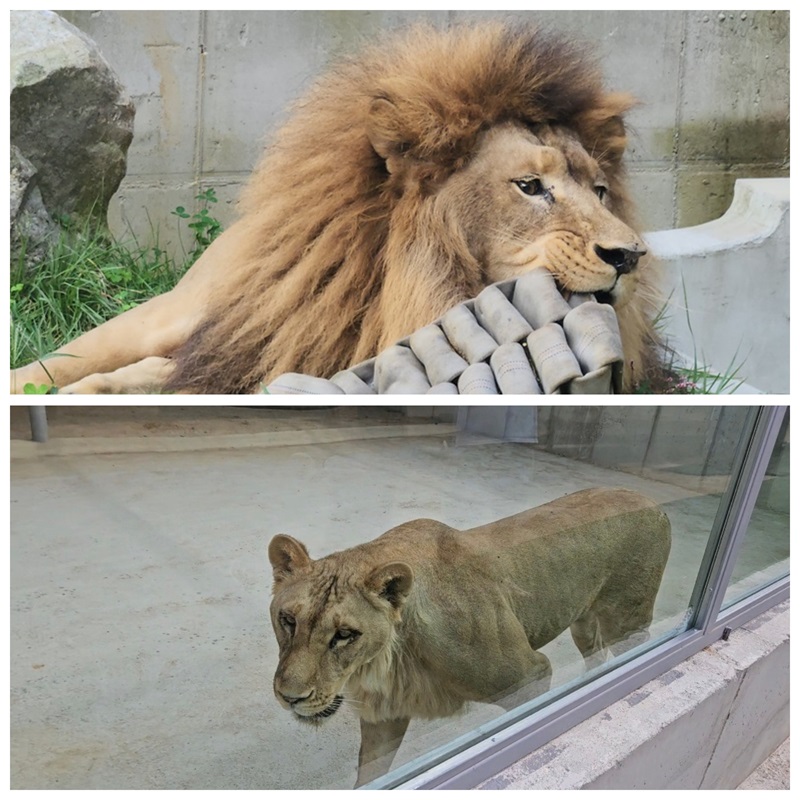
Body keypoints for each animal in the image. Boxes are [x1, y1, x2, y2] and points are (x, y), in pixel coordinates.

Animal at [268, 488, 668, 788]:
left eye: (345, 635)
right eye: (287, 620)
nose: (290, 698)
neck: (387, 659)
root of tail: (651, 500)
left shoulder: (531, 675)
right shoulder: (386, 711)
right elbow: (371, 773)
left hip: (626, 621)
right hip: (582, 622)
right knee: (595, 652)